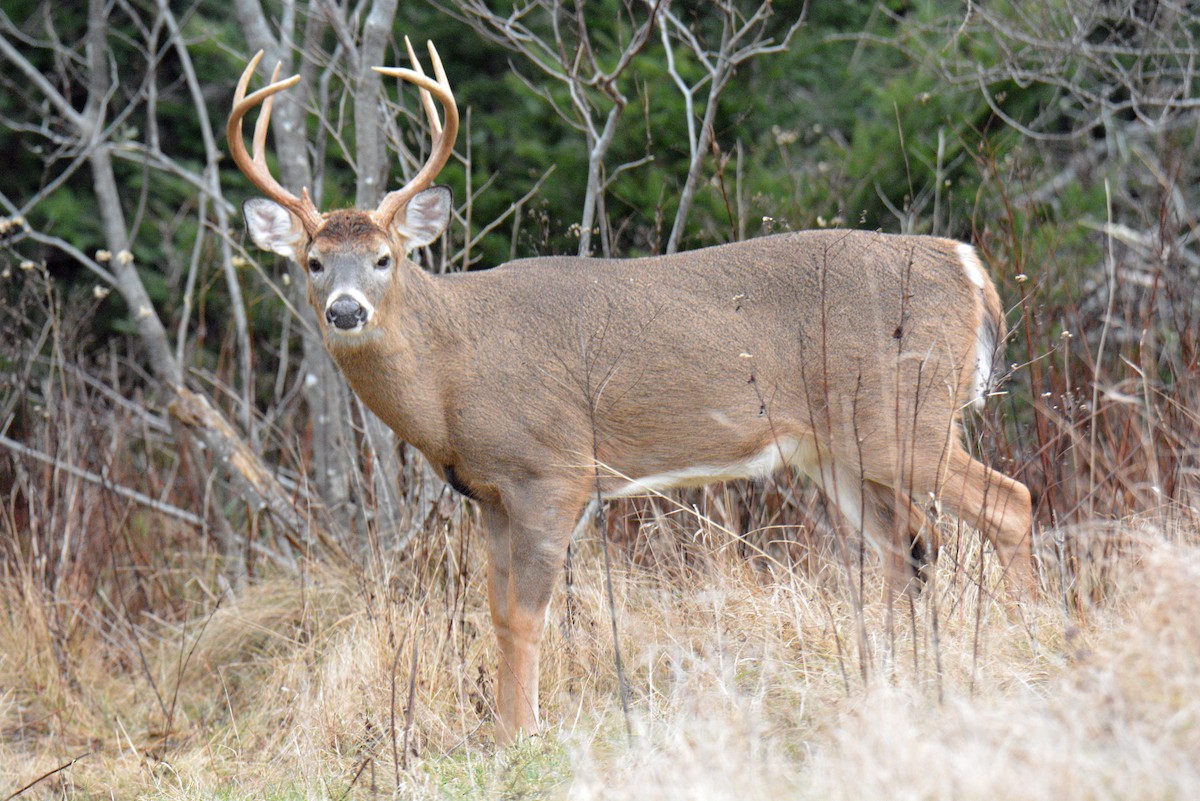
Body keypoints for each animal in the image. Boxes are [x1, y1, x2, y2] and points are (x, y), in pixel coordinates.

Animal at [228, 41, 1035, 746]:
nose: (345, 311)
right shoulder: (489, 493)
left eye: (384, 258)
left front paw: (522, 735)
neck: (454, 372)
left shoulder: (553, 470)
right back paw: (893, 676)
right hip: (838, 448)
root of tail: (967, 265)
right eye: (313, 261)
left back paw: (1030, 639)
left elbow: (527, 616)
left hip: (909, 413)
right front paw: (503, 728)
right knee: (910, 548)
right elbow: (496, 612)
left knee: (1009, 503)